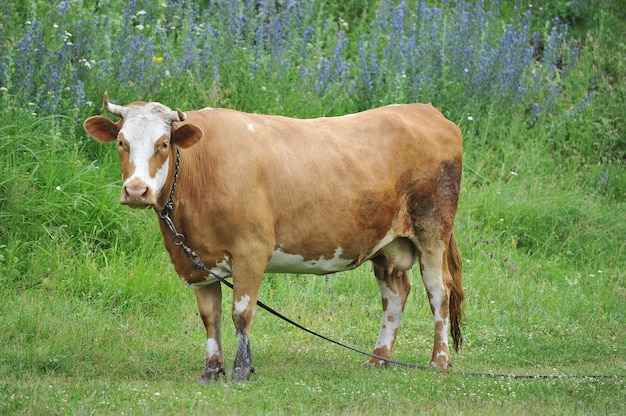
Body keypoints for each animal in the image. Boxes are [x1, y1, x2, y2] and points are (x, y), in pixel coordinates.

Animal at [84, 92, 464, 382]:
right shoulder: (198, 262)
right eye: (121, 142)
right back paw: (378, 358)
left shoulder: (251, 252)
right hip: (386, 245)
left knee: (438, 292)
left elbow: (241, 313)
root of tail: (426, 110)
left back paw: (439, 361)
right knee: (395, 292)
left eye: (163, 144)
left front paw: (242, 370)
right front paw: (211, 370)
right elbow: (210, 317)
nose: (137, 191)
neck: (201, 169)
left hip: (432, 229)